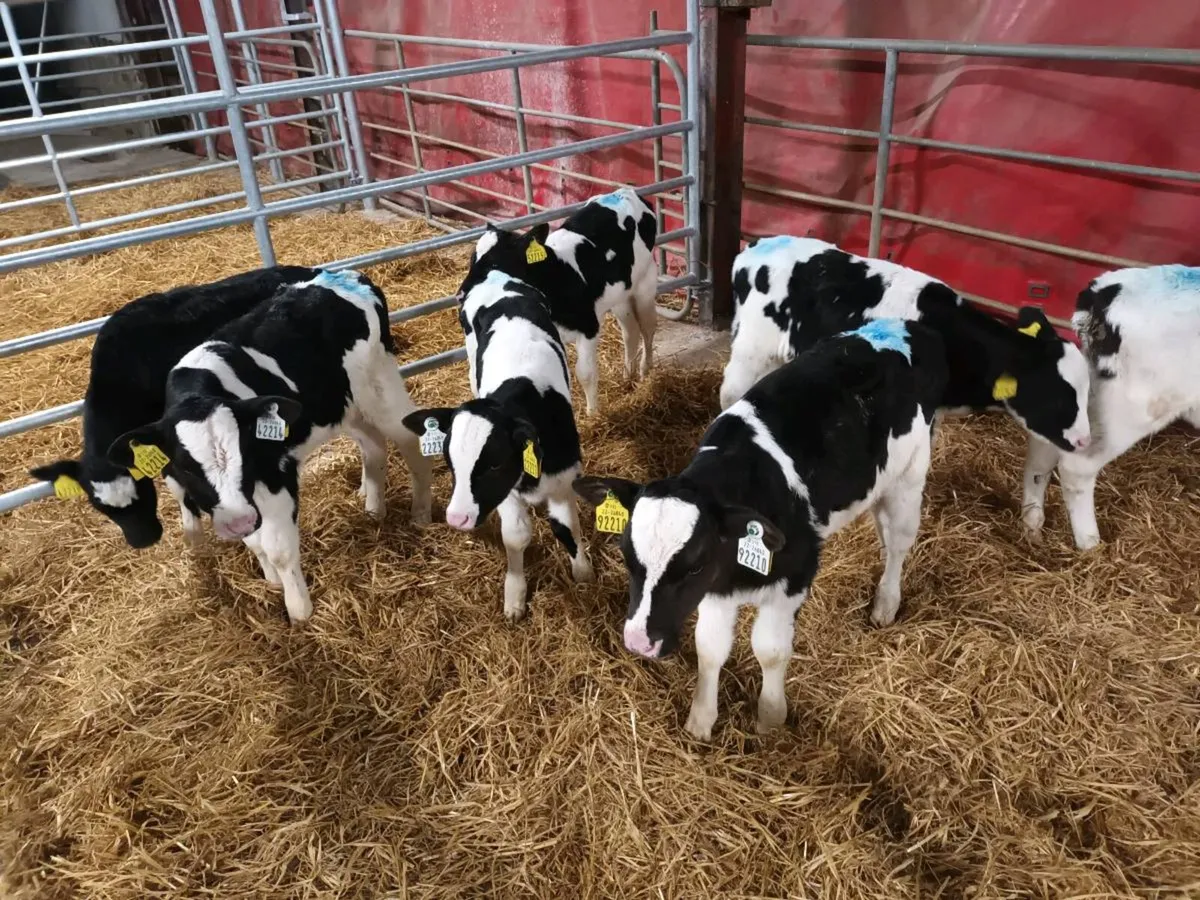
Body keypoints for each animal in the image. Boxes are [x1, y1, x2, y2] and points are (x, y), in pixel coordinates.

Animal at [100, 269, 433, 623]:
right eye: (187, 468)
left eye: (246, 454)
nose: (239, 523)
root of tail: (346, 275)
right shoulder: (237, 502)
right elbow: (256, 543)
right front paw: (272, 581)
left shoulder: (276, 472)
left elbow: (278, 548)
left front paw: (299, 611)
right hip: (345, 407)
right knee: (373, 446)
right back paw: (373, 508)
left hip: (380, 388)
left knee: (410, 441)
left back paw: (420, 514)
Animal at [404, 269, 594, 622]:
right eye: (450, 463)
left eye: (494, 462)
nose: (457, 518)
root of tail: (497, 276)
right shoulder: (509, 493)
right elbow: (516, 536)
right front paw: (515, 595)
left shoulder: (564, 476)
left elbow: (565, 526)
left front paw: (583, 571)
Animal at [454, 186, 658, 415]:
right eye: (473, 258)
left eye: (495, 262)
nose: (460, 294)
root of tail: (626, 191)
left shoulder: (588, 326)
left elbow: (585, 373)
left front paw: (593, 414)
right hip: (620, 293)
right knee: (630, 331)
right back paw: (627, 375)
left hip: (645, 283)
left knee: (648, 327)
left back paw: (645, 370)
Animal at [575, 319, 948, 740]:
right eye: (627, 559)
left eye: (693, 565)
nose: (639, 643)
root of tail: (900, 326)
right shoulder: (717, 588)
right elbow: (710, 649)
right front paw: (701, 720)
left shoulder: (793, 577)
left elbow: (769, 651)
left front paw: (771, 718)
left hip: (909, 477)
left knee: (899, 543)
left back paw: (886, 603)